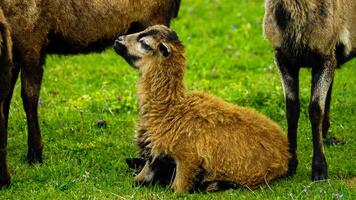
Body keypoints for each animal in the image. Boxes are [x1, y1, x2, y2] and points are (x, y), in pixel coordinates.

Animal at [113, 24, 290, 192]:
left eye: (144, 43)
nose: (117, 40)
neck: (168, 110)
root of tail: (285, 154)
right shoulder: (154, 156)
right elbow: (139, 179)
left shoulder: (187, 159)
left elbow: (177, 189)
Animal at [262, 0, 354, 181]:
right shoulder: (283, 57)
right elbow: (291, 110)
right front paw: (290, 165)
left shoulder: (326, 55)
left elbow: (315, 110)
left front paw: (319, 170)